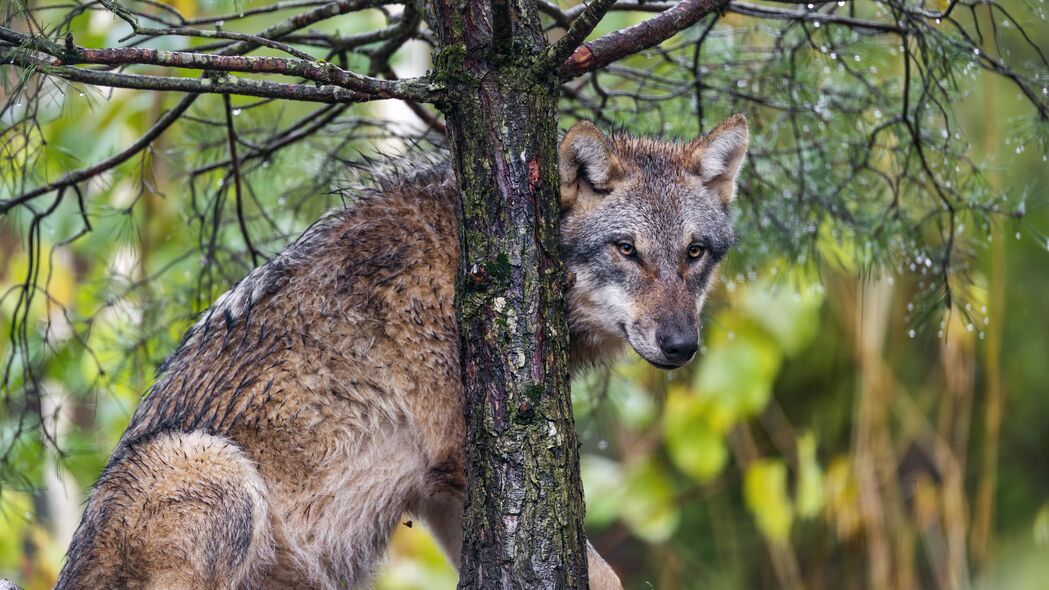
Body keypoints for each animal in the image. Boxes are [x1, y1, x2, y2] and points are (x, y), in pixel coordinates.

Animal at [55, 114, 746, 587]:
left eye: (694, 253)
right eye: (627, 250)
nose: (682, 345)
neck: (472, 264)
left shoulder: (439, 486)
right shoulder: (459, 452)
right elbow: (604, 573)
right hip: (214, 465)